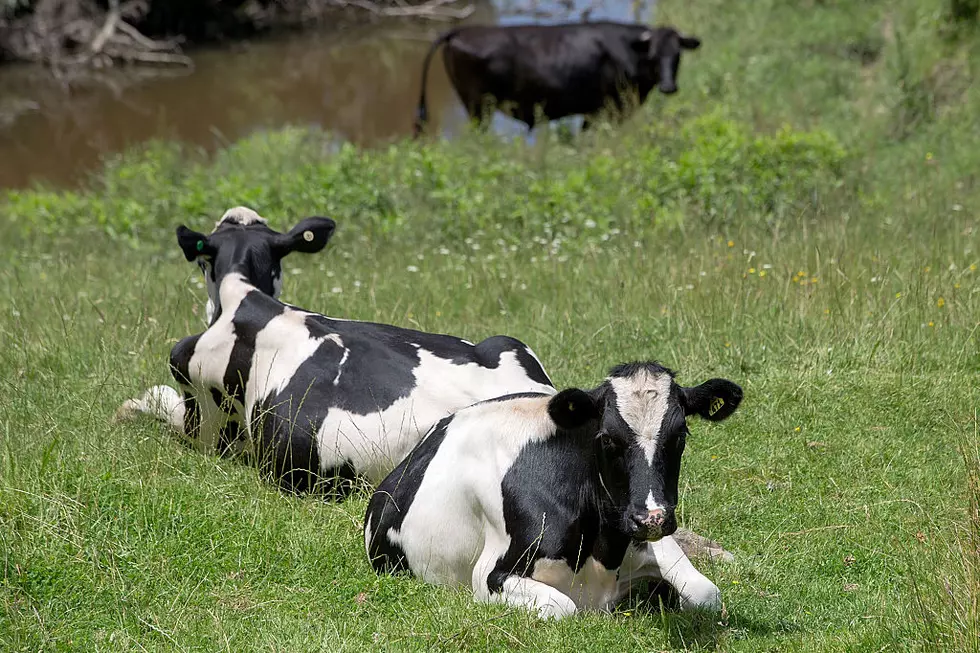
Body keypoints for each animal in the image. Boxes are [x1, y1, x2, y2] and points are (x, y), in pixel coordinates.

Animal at [366, 362, 744, 616]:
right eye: (607, 438)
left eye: (680, 435)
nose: (651, 518)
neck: (602, 551)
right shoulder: (489, 576)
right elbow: (565, 607)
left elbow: (707, 595)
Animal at [412, 20, 696, 135]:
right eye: (654, 55)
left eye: (677, 55)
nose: (669, 86)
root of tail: (460, 31)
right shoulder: (606, 109)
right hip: (478, 105)